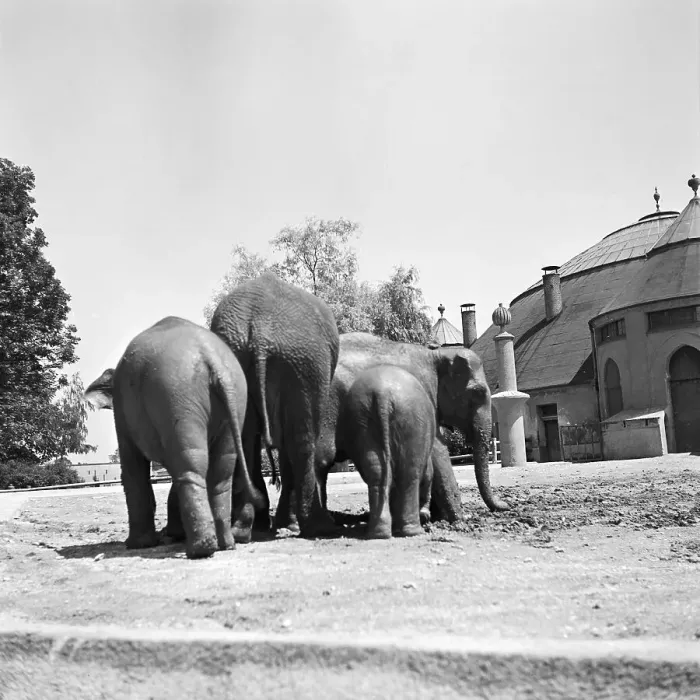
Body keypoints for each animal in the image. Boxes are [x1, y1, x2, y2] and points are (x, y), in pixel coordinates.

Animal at [84, 316, 263, 559]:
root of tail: (212, 359)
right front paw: (169, 535)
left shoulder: (122, 412)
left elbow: (132, 466)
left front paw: (139, 544)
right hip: (234, 398)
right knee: (220, 469)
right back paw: (226, 544)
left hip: (176, 395)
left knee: (190, 466)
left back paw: (201, 549)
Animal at [209, 272, 340, 541]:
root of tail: (261, 330)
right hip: (306, 362)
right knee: (303, 441)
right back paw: (321, 528)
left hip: (243, 360)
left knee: (246, 440)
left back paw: (243, 531)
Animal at [313, 332, 509, 517]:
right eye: (477, 393)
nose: (505, 506)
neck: (435, 355)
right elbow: (437, 450)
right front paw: (459, 519)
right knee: (321, 458)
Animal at [344, 364, 434, 538]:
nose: (427, 517)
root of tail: (382, 395)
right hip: (413, 424)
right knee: (409, 474)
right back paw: (414, 532)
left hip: (361, 421)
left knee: (377, 472)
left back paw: (378, 533)